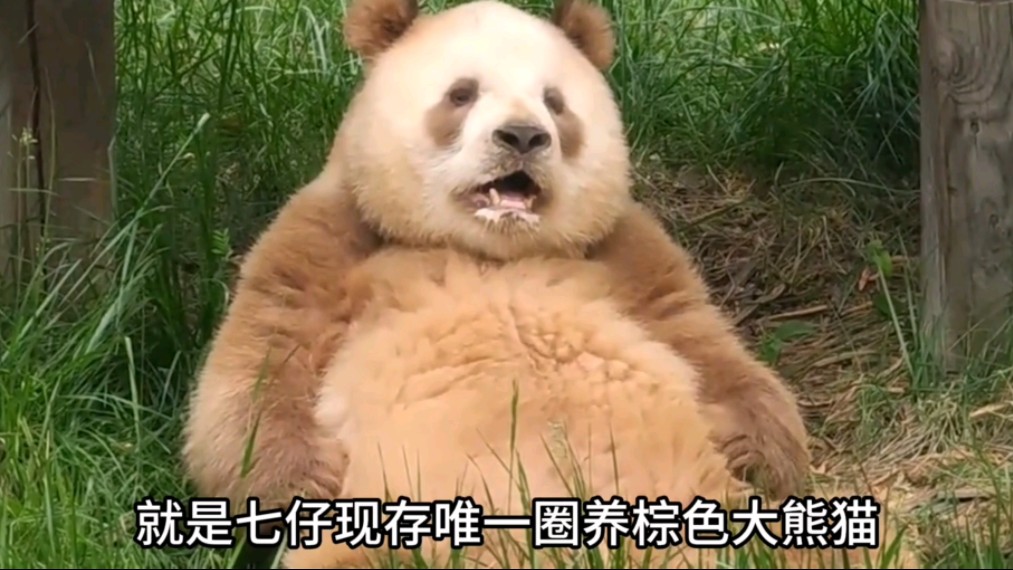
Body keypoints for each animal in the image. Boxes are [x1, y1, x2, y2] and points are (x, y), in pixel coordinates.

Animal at [180, 0, 810, 537]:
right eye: (461, 93)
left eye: (555, 102)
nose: (524, 136)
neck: (492, 251)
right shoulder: (328, 238)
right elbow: (260, 364)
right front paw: (303, 484)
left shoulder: (630, 254)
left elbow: (705, 344)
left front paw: (753, 451)